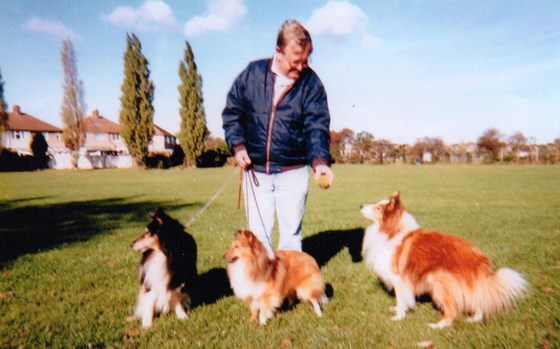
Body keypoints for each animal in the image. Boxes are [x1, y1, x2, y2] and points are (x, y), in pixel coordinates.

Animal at [360, 192, 528, 328]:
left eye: (378, 208)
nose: (360, 205)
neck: (392, 231)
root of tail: (479, 258)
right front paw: (396, 309)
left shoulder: (399, 278)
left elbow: (401, 299)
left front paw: (398, 317)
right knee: (479, 302)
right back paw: (473, 319)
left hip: (439, 282)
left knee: (452, 312)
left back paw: (438, 325)